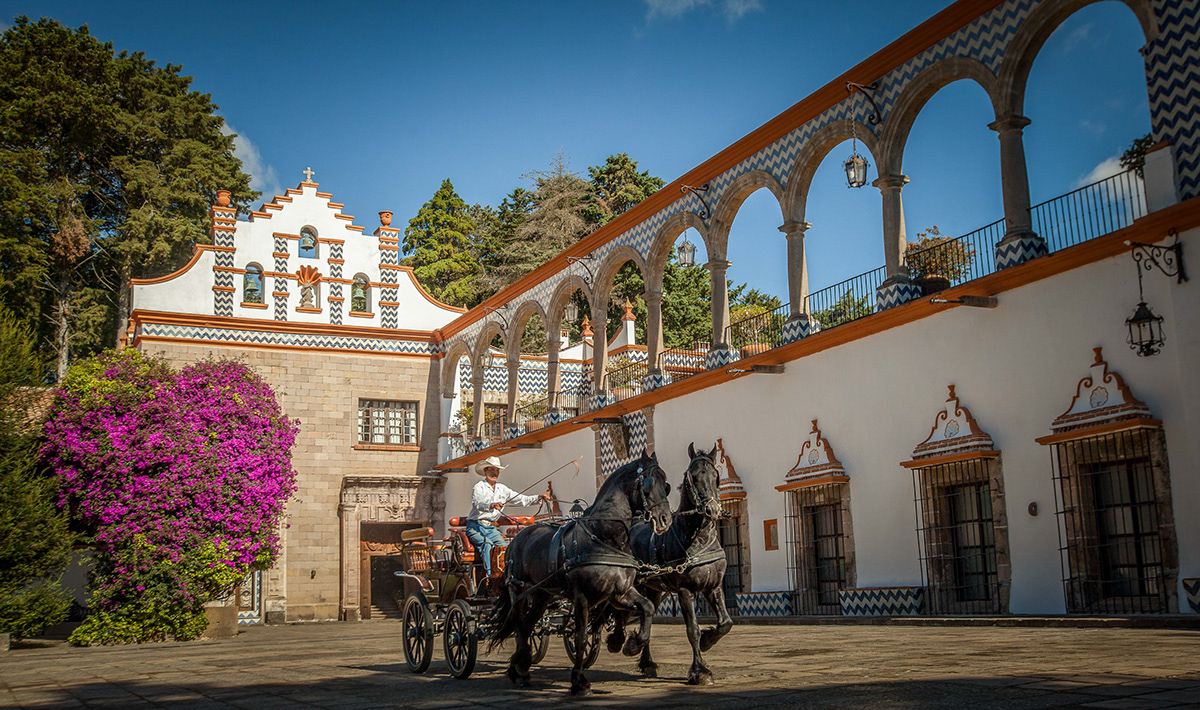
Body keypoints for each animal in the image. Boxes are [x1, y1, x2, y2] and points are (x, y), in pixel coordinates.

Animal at [487, 448, 676, 695]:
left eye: (666, 485)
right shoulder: (582, 597)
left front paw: (632, 645)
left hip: (541, 595)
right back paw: (519, 667)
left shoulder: (620, 592)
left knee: (527, 627)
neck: (604, 537)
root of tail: (515, 540)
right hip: (518, 592)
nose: (665, 519)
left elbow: (647, 607)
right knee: (519, 627)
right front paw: (579, 681)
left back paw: (521, 670)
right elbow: (580, 637)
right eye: (648, 484)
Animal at [609, 443, 729, 681]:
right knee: (620, 610)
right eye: (693, 477)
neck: (698, 537)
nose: (712, 510)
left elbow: (725, 624)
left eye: (716, 477)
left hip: (652, 589)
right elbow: (692, 630)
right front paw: (699, 670)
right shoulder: (684, 590)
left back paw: (646, 661)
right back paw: (621, 642)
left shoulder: (714, 586)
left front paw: (708, 641)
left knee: (645, 616)